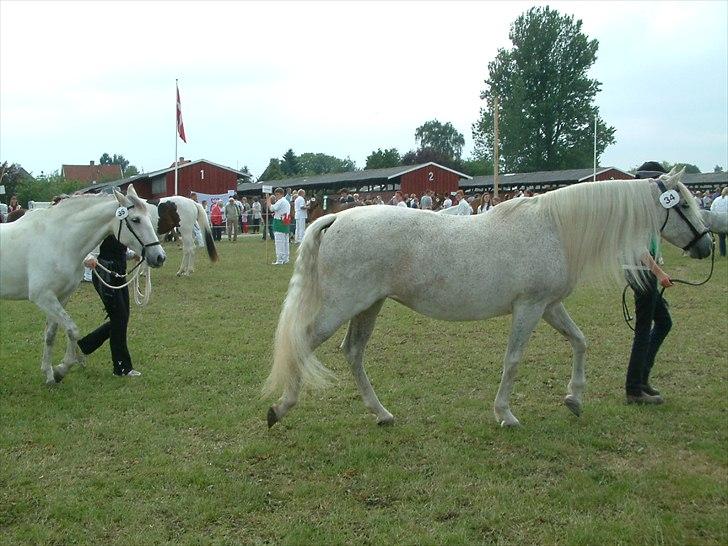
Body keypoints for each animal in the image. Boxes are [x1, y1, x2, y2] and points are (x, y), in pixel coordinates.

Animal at [0, 185, 166, 384]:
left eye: (149, 216)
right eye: (135, 220)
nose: (159, 257)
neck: (58, 240)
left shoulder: (61, 297)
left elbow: (51, 334)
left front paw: (49, 374)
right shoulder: (43, 297)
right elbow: (72, 330)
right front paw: (62, 369)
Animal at [264, 168, 712, 428]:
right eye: (686, 205)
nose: (707, 245)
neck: (555, 228)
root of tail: (338, 215)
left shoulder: (549, 305)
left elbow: (580, 341)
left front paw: (574, 398)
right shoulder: (529, 307)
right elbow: (513, 359)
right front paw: (506, 414)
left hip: (368, 305)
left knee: (353, 352)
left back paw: (382, 413)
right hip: (342, 305)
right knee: (304, 342)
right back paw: (281, 408)